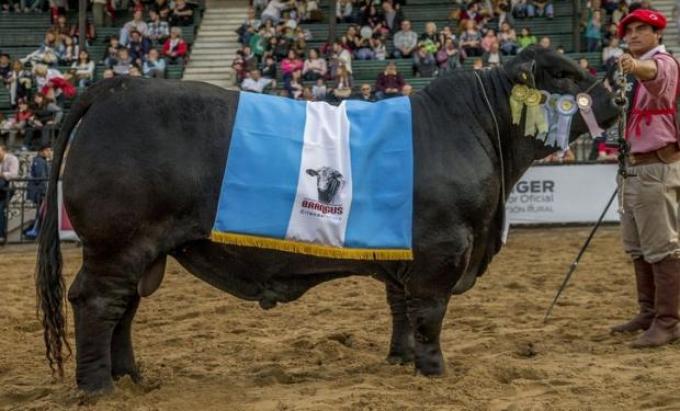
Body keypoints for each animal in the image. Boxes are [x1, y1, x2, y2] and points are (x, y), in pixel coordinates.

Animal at [35, 45, 620, 392]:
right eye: (564, 74)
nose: (614, 97)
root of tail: (121, 85)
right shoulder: (443, 248)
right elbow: (430, 314)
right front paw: (434, 371)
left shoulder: (403, 251)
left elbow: (401, 308)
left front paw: (400, 360)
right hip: (117, 242)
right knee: (98, 302)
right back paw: (98, 386)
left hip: (141, 249)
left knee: (124, 309)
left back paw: (132, 377)